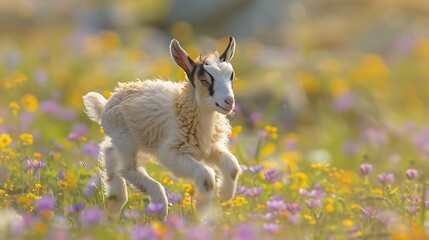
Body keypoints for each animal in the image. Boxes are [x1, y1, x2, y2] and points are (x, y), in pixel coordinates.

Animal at [83, 37, 241, 219]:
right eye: (204, 81)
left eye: (231, 77)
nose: (229, 102)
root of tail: (105, 105)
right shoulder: (170, 153)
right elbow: (207, 178)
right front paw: (204, 216)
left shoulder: (209, 148)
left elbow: (232, 167)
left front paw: (224, 196)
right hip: (126, 139)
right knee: (128, 170)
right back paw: (160, 209)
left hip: (121, 139)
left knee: (109, 151)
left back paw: (114, 202)